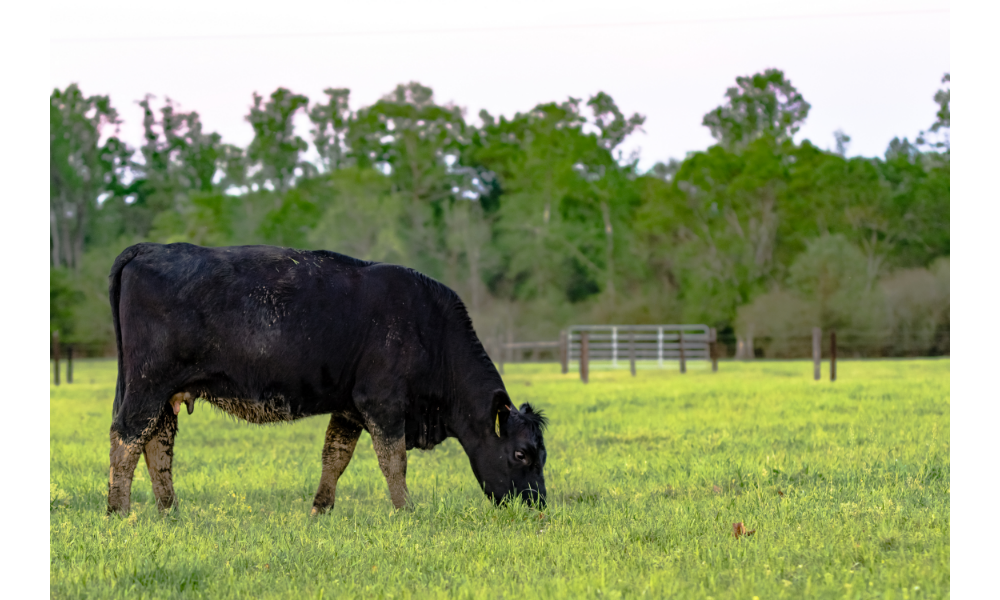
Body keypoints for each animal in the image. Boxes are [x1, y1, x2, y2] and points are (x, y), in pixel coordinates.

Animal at [105, 244, 552, 516]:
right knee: (126, 440)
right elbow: (394, 461)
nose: (539, 505)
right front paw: (406, 511)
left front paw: (320, 509)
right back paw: (119, 512)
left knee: (157, 446)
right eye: (521, 454)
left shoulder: (349, 407)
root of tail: (152, 248)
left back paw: (170, 512)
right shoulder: (382, 402)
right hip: (146, 386)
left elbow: (335, 457)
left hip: (163, 395)